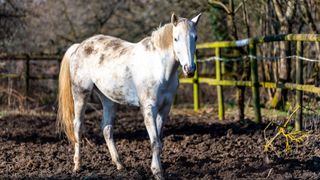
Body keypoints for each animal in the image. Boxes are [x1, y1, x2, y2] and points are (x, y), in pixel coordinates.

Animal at [57, 12, 200, 179]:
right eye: (175, 38)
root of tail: (79, 46)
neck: (159, 68)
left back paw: (119, 164)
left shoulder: (165, 109)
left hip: (109, 100)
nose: (189, 69)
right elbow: (155, 142)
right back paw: (77, 165)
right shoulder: (148, 108)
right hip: (81, 94)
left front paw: (158, 171)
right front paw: (157, 171)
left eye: (195, 37)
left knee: (106, 128)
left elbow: (159, 141)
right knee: (78, 126)